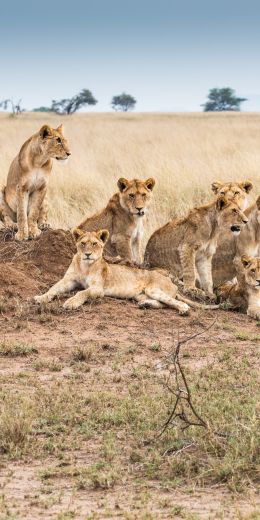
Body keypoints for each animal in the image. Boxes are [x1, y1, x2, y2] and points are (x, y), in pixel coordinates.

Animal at [33, 230, 218, 314]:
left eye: (95, 244)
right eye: (83, 243)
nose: (87, 254)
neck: (85, 266)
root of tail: (171, 283)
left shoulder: (98, 289)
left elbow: (82, 292)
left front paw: (71, 302)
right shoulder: (68, 281)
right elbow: (53, 289)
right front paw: (41, 298)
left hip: (154, 289)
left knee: (176, 303)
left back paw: (183, 310)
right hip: (140, 295)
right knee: (164, 303)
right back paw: (145, 304)